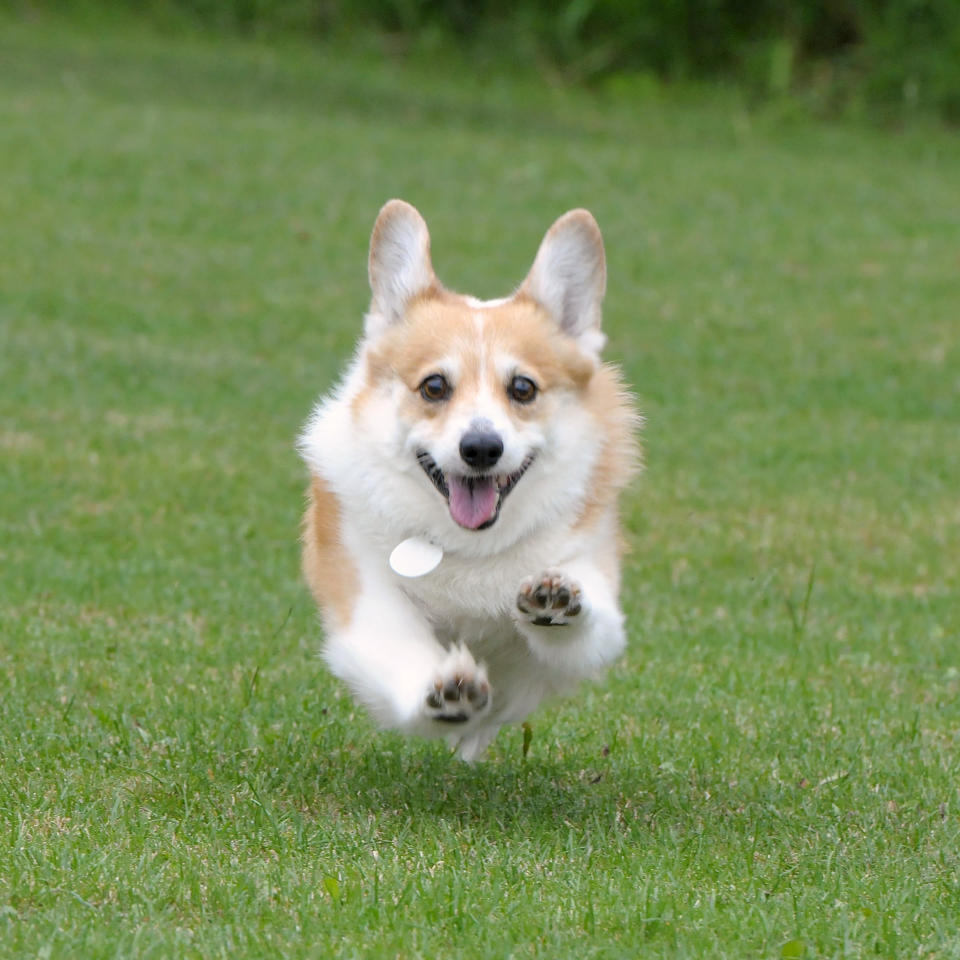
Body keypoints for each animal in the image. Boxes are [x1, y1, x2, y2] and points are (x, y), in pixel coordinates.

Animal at [298, 201, 636, 756]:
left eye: (523, 388)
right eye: (434, 387)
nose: (480, 448)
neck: (469, 546)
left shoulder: (591, 591)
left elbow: (583, 624)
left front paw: (556, 599)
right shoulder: (363, 597)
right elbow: (400, 643)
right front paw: (446, 691)